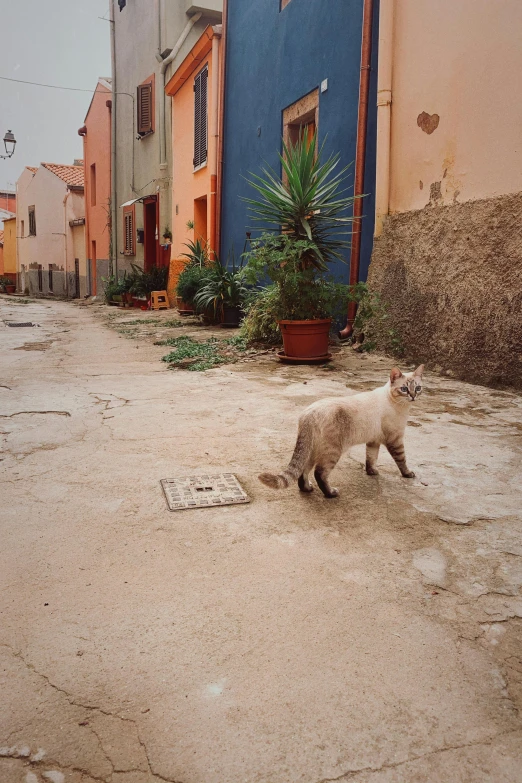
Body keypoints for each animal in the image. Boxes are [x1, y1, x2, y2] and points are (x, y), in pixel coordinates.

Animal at [256, 366, 422, 500]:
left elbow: (371, 459)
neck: (399, 405)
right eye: (404, 389)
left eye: (418, 388)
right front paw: (408, 474)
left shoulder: (373, 441)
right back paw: (331, 493)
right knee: (320, 473)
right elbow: (402, 460)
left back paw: (307, 489)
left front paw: (372, 472)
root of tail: (308, 413)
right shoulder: (395, 440)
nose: (413, 396)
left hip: (312, 451)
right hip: (333, 452)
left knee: (303, 471)